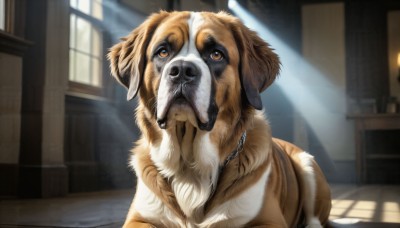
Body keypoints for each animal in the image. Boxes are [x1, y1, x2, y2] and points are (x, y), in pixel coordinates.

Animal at [107, 9, 332, 227]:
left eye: (216, 55)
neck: (190, 166)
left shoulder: (269, 220)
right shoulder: (140, 218)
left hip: (307, 165)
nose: (181, 70)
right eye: (163, 52)